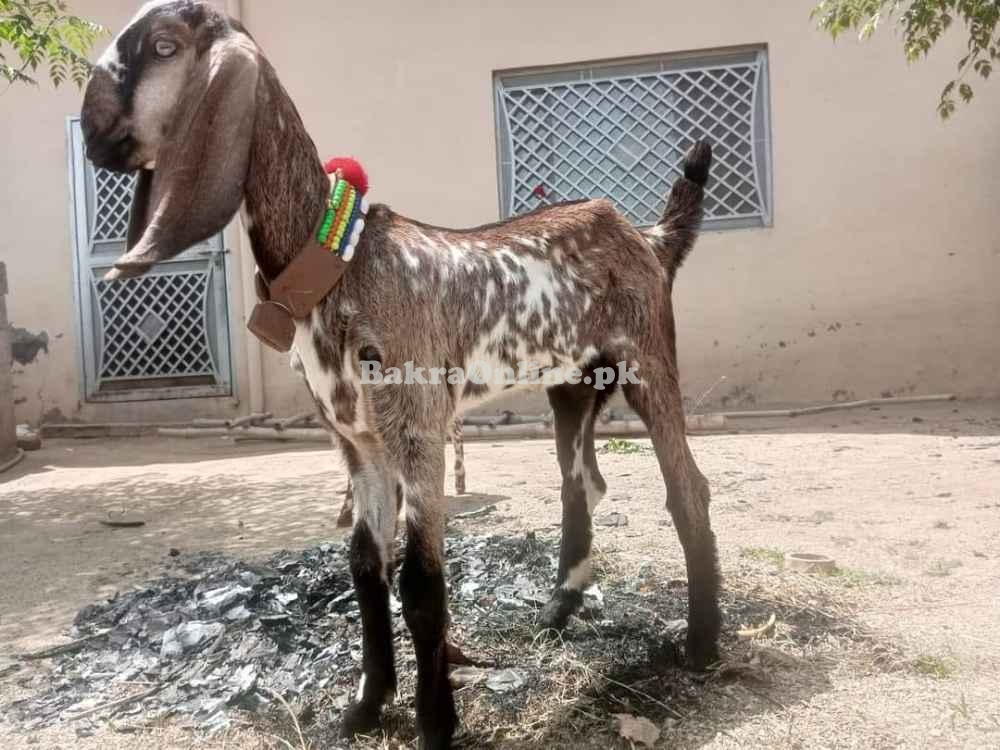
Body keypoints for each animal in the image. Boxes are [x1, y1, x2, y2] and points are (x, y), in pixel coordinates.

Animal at [78, 2, 720, 748]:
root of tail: (648, 237)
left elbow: (419, 579)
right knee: (580, 482)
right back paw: (559, 609)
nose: (92, 134)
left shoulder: (416, 427)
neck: (339, 264)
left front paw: (435, 721)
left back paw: (703, 644)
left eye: (163, 44)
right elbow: (364, 563)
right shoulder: (356, 440)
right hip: (574, 382)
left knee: (687, 488)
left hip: (649, 360)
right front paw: (366, 705)